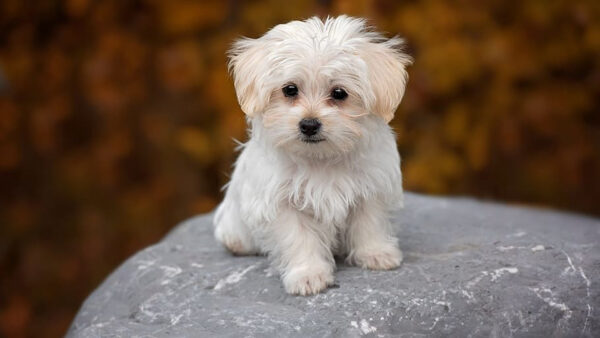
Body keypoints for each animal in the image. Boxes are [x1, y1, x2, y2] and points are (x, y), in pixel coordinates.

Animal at [214, 16, 412, 296]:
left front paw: (376, 253)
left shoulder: (370, 186)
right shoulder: (282, 202)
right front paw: (307, 275)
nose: (309, 124)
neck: (321, 158)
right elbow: (299, 238)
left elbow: (369, 222)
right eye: (290, 90)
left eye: (339, 93)